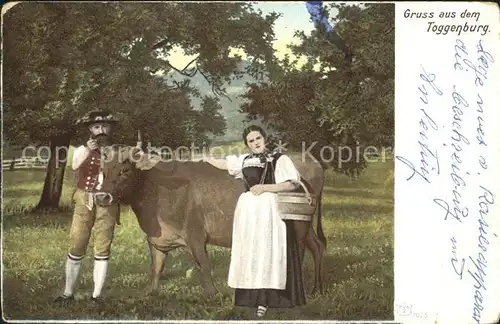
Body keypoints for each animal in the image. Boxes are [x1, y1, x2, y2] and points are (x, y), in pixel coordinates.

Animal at [98, 144, 328, 296]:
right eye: (103, 170)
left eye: (124, 170)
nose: (102, 197)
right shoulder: (157, 239)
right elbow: (156, 267)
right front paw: (151, 294)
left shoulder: (196, 234)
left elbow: (203, 265)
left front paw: (212, 294)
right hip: (307, 225)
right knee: (317, 246)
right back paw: (317, 289)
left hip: (298, 225)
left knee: (301, 253)